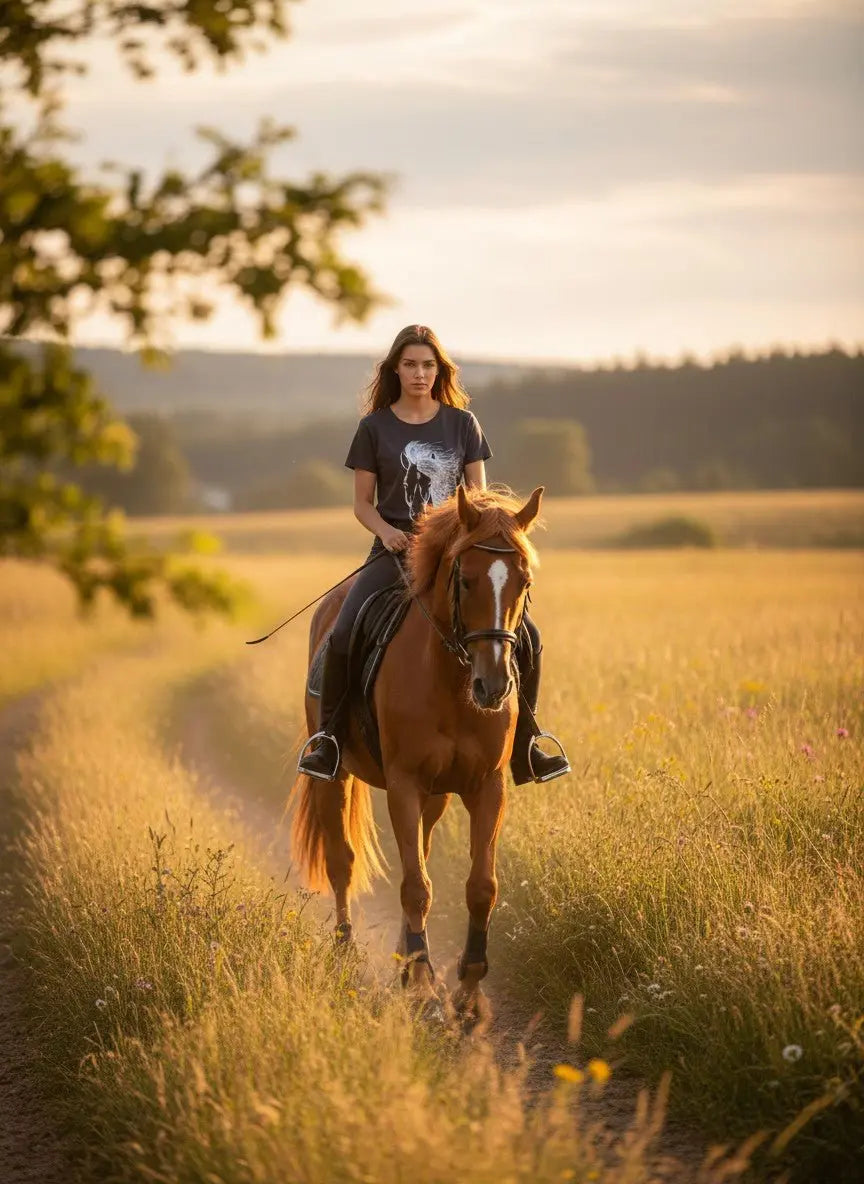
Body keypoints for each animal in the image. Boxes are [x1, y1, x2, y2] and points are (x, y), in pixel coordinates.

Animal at [289, 484, 544, 1017]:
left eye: (523, 581)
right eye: (464, 580)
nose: (493, 686)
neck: (451, 683)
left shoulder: (487, 787)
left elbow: (479, 886)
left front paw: (468, 991)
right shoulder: (403, 784)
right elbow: (414, 885)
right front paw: (424, 985)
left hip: (437, 794)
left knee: (420, 851)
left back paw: (407, 959)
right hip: (336, 775)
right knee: (342, 861)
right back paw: (347, 953)